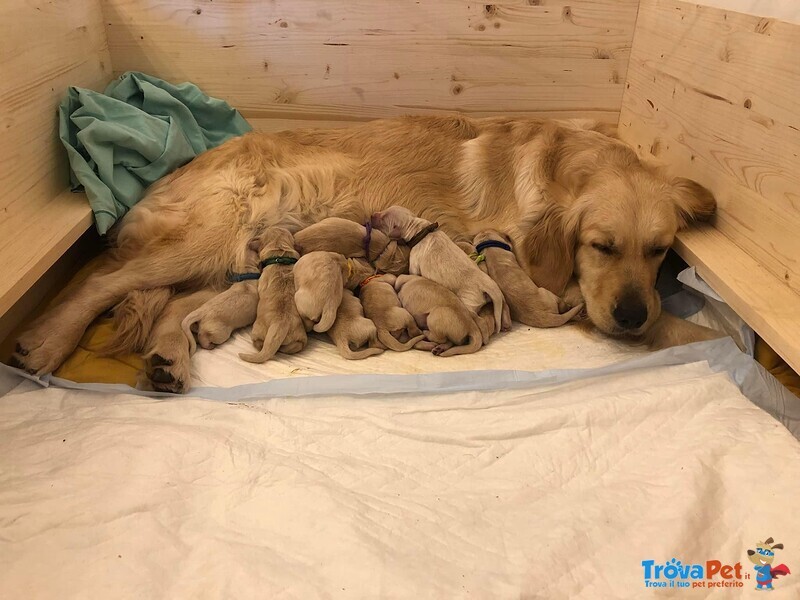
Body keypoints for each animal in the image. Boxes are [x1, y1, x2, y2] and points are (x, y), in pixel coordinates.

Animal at [238, 227, 306, 364]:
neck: (280, 256)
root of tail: (280, 324)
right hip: (300, 337)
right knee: (294, 346)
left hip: (257, 331)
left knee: (259, 343)